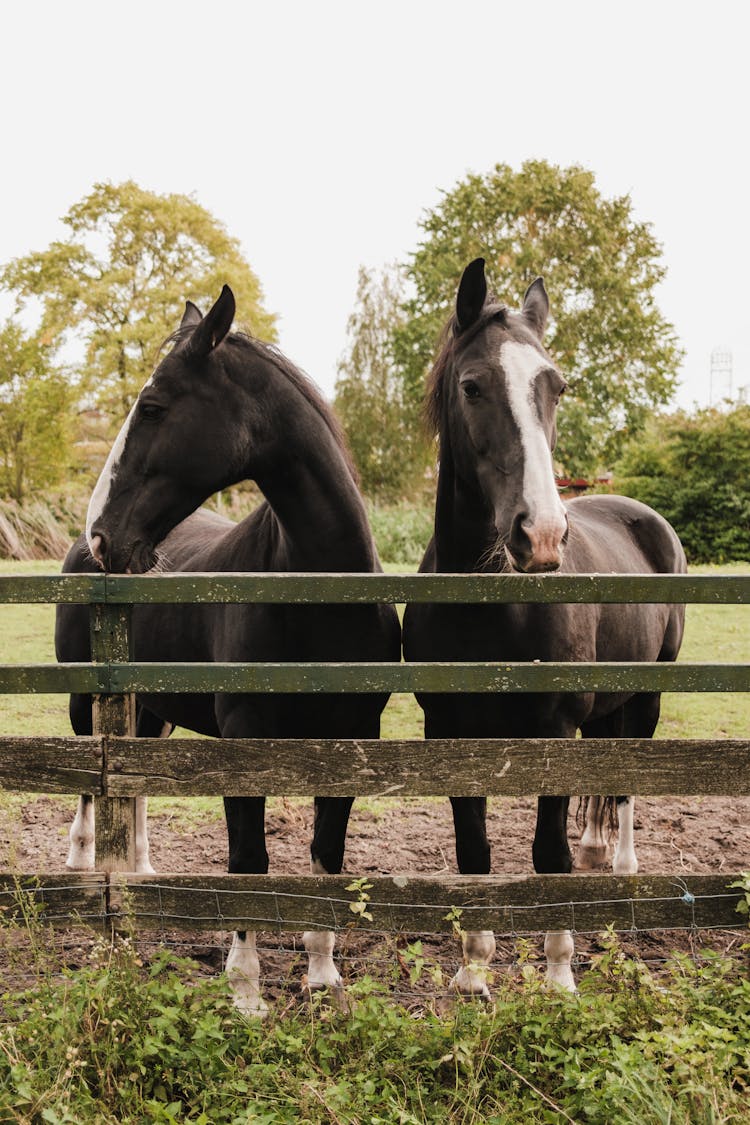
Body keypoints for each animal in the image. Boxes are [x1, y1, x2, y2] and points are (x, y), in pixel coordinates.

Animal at [55, 285, 402, 1017]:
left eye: (154, 407)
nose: (102, 536)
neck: (316, 593)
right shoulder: (244, 738)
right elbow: (248, 859)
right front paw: (245, 988)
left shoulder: (354, 736)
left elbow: (325, 853)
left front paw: (322, 971)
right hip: (82, 700)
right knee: (91, 790)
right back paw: (84, 865)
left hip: (150, 711)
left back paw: (143, 872)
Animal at [404, 257, 688, 994]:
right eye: (472, 385)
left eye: (555, 386)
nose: (543, 534)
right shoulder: (447, 729)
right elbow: (473, 849)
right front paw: (473, 969)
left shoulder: (554, 727)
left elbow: (546, 852)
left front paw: (559, 975)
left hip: (649, 694)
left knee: (625, 786)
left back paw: (621, 875)